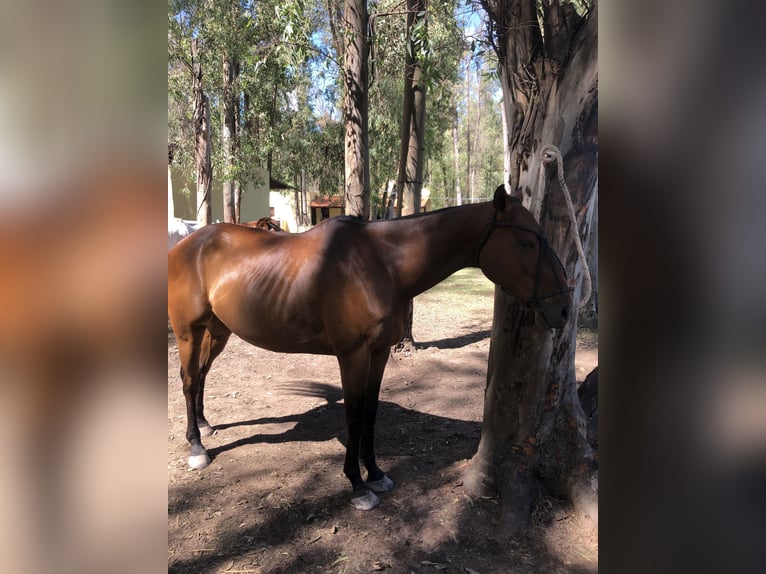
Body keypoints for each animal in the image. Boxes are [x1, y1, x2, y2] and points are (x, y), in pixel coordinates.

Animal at [170, 187, 576, 510]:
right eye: (526, 242)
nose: (564, 308)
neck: (381, 264)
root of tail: (187, 243)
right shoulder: (353, 355)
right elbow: (353, 415)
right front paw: (357, 484)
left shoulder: (379, 353)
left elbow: (370, 412)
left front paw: (376, 473)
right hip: (188, 332)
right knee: (189, 380)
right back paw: (197, 448)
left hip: (218, 330)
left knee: (202, 375)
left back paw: (204, 425)